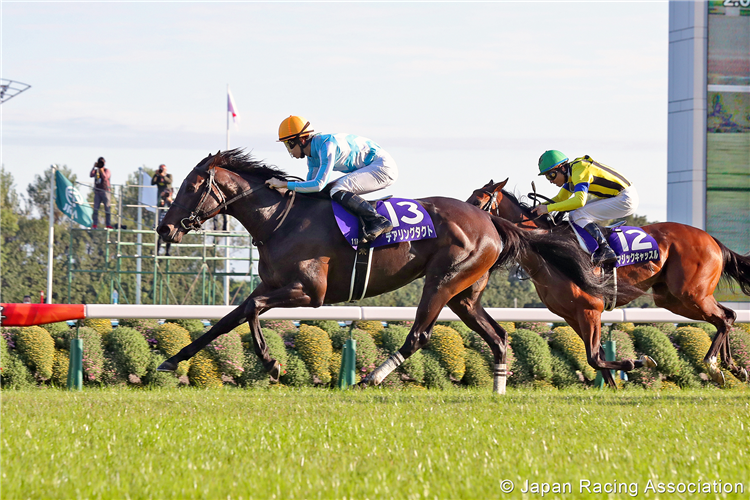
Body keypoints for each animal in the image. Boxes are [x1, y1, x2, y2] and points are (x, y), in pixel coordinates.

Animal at [156, 150, 608, 392]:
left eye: (192, 187)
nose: (164, 228)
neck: (280, 218)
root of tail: (492, 221)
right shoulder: (271, 285)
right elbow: (225, 320)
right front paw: (170, 361)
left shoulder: (309, 292)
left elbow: (250, 313)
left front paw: (272, 364)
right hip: (464, 294)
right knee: (497, 336)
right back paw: (498, 387)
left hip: (443, 279)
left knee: (420, 334)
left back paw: (371, 377)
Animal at [470, 178, 750, 384]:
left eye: (478, 200)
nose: (471, 223)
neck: (548, 250)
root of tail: (713, 240)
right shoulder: (572, 315)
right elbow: (599, 360)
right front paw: (620, 380)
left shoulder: (589, 308)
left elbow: (594, 358)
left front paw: (637, 361)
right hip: (675, 298)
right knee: (727, 316)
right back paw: (733, 368)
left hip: (690, 294)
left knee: (724, 318)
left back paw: (713, 366)